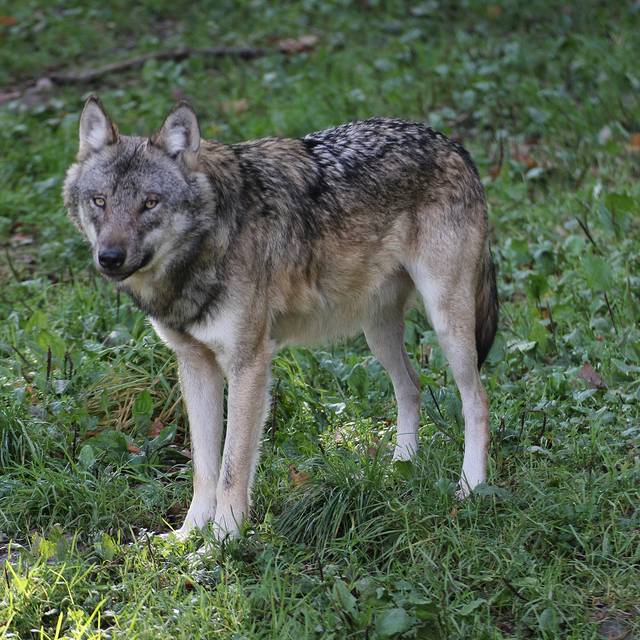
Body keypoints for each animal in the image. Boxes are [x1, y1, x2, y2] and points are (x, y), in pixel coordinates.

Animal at [63, 96, 498, 540]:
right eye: (100, 201)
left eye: (149, 202)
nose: (109, 258)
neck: (209, 243)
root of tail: (452, 144)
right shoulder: (195, 365)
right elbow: (204, 469)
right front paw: (188, 535)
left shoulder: (249, 366)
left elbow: (232, 470)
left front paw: (221, 542)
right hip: (376, 333)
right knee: (411, 387)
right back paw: (400, 467)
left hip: (446, 322)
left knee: (477, 400)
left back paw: (470, 487)